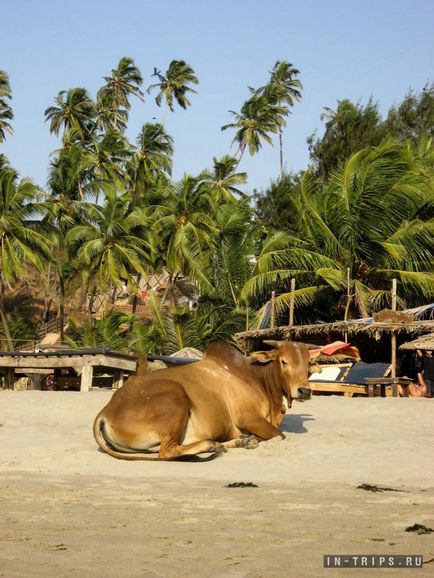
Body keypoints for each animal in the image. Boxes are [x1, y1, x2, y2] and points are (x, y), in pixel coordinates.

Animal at [93, 338, 310, 460]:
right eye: (283, 361)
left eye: (309, 363)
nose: (304, 391)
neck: (255, 376)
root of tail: (105, 411)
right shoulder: (249, 418)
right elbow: (279, 435)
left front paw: (245, 439)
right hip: (175, 395)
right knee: (167, 452)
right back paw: (213, 444)